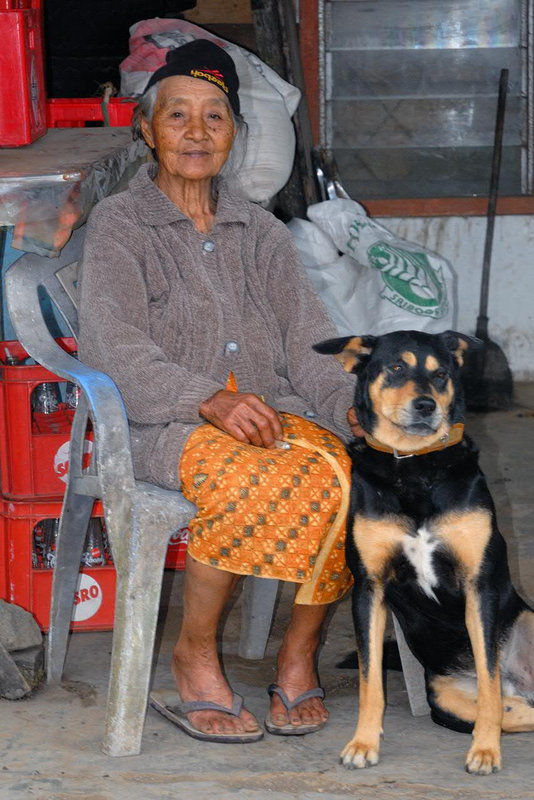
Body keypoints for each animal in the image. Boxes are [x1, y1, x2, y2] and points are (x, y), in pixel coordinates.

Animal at [316, 330, 534, 776]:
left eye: (441, 374)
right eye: (397, 367)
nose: (425, 405)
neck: (414, 466)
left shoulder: (478, 585)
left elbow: (488, 681)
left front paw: (485, 751)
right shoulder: (369, 588)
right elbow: (370, 680)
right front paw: (363, 743)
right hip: (444, 699)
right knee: (520, 709)